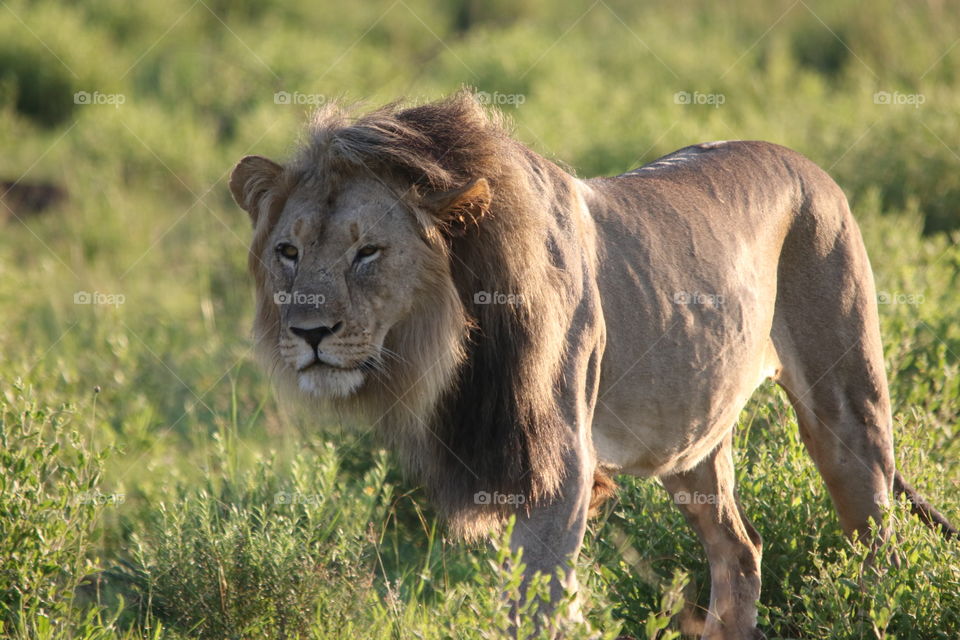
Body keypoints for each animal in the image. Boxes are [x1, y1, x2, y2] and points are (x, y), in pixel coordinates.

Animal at [229, 92, 955, 639]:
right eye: (289, 251)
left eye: (368, 252)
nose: (309, 333)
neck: (456, 334)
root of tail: (810, 165)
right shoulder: (499, 467)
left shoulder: (560, 466)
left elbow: (540, 605)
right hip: (693, 443)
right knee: (740, 552)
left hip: (849, 409)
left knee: (878, 549)